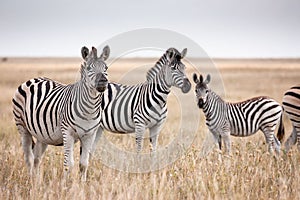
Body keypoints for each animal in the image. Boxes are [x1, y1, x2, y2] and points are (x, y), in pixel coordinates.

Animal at [12, 46, 110, 180]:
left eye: (106, 68)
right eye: (89, 68)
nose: (103, 82)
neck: (89, 110)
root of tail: (32, 79)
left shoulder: (90, 135)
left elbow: (84, 163)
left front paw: (82, 183)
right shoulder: (67, 132)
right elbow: (69, 164)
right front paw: (65, 184)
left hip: (42, 135)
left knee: (37, 158)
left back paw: (37, 181)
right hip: (22, 127)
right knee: (29, 158)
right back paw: (30, 181)